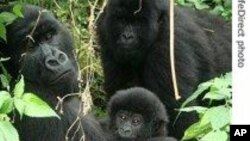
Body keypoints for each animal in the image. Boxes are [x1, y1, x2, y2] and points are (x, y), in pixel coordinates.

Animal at [96, 0, 231, 139]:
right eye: (122, 20)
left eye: (138, 23)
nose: (127, 36)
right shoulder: (105, 32)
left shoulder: (169, 43)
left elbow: (176, 108)